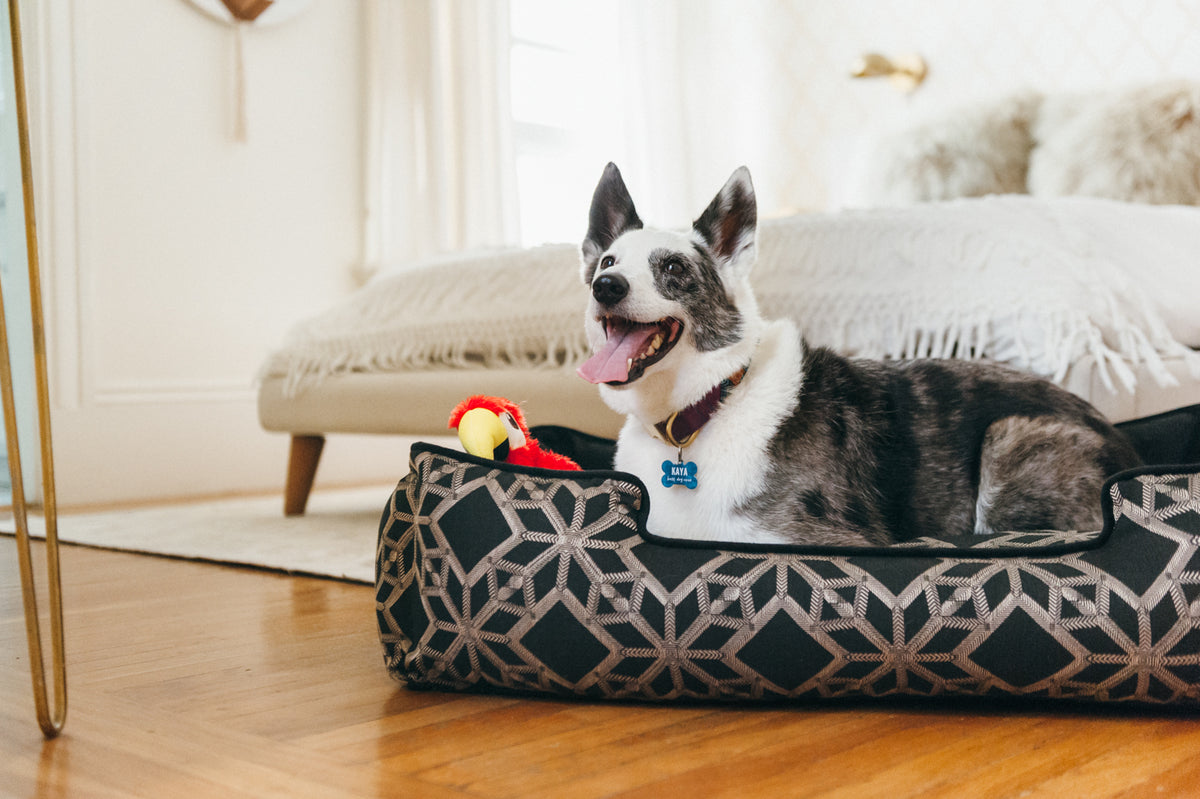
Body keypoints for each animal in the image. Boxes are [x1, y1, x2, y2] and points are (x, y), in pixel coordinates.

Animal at [576, 163, 1137, 547]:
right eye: (608, 261)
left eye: (673, 268)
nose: (606, 286)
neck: (706, 405)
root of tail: (1128, 450)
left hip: (1009, 439)